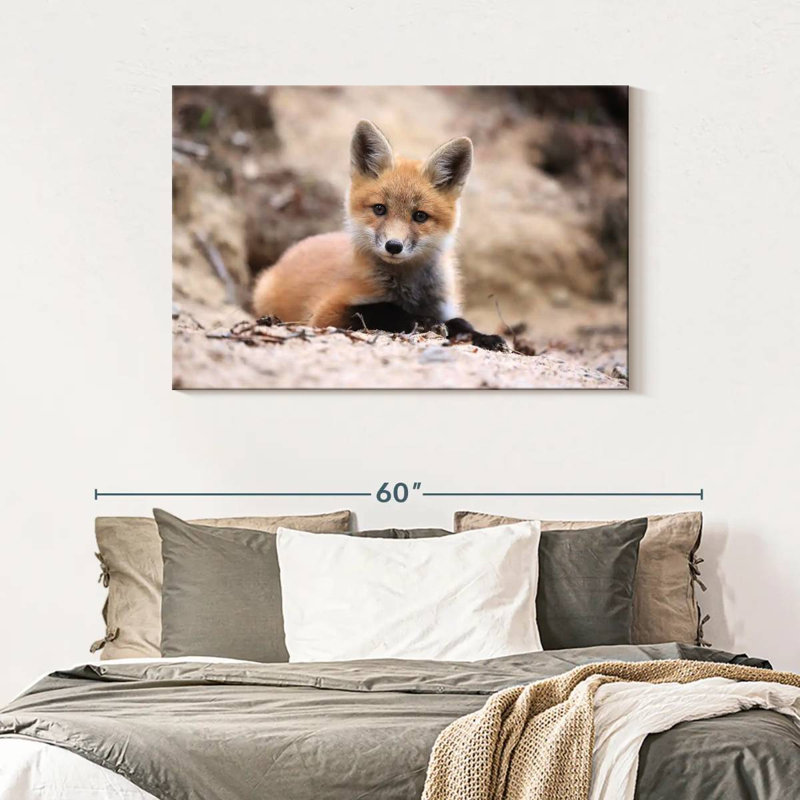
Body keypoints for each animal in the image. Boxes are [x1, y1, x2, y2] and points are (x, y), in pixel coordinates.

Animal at [251, 120, 507, 351]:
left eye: (420, 216)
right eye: (380, 209)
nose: (393, 246)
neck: (409, 291)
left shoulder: (444, 307)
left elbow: (461, 322)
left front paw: (486, 337)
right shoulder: (325, 313)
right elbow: (383, 310)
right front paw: (423, 321)